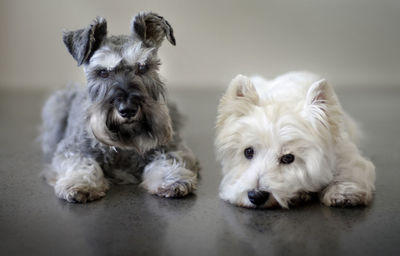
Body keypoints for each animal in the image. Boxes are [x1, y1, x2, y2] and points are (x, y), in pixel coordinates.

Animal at [40, 12, 200, 203]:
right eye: (103, 72)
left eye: (143, 67)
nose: (128, 110)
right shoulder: (72, 149)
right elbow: (81, 162)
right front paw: (80, 183)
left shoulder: (174, 146)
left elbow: (169, 158)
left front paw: (172, 179)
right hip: (57, 105)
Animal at [216, 72, 376, 208]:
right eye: (248, 152)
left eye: (288, 158)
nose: (256, 196)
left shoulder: (344, 152)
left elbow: (350, 169)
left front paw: (344, 192)